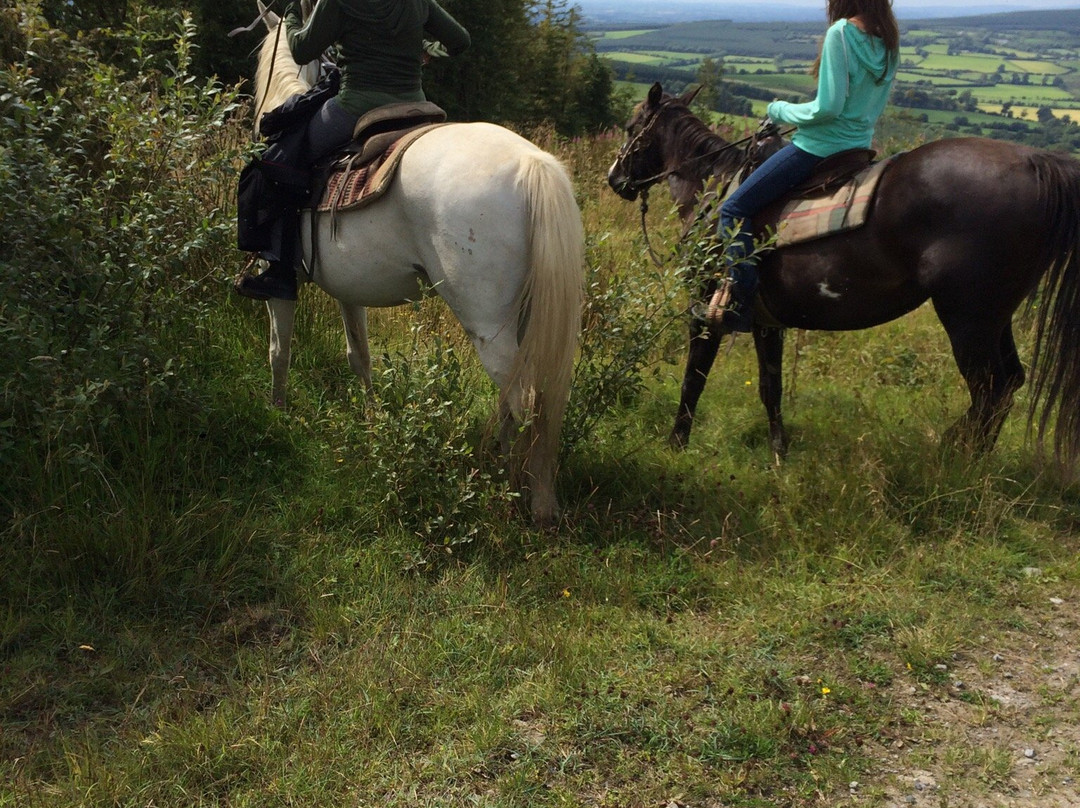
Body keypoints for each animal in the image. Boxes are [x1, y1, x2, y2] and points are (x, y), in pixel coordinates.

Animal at [247, 1, 583, 524]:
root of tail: (532, 165)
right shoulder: (349, 289)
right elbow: (359, 356)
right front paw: (371, 422)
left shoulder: (278, 278)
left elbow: (278, 350)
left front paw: (277, 413)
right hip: (528, 317)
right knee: (540, 396)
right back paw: (520, 481)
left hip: (488, 325)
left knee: (522, 398)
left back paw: (517, 490)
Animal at [609, 82, 1080, 466]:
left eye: (632, 127)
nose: (616, 179)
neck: (715, 185)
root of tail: (1037, 163)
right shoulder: (766, 320)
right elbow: (770, 386)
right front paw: (779, 452)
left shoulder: (705, 308)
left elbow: (694, 379)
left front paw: (675, 445)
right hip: (995, 316)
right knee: (1009, 383)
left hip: (968, 317)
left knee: (989, 389)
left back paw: (955, 463)